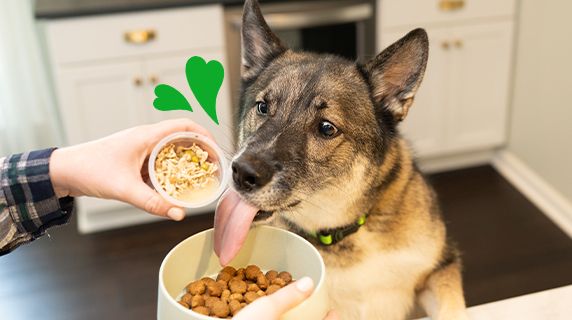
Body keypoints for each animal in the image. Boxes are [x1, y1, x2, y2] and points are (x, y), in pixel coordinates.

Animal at [212, 0, 466, 318]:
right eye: (262, 107)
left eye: (326, 128)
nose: (242, 172)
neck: (342, 232)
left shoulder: (442, 268)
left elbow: (454, 309)